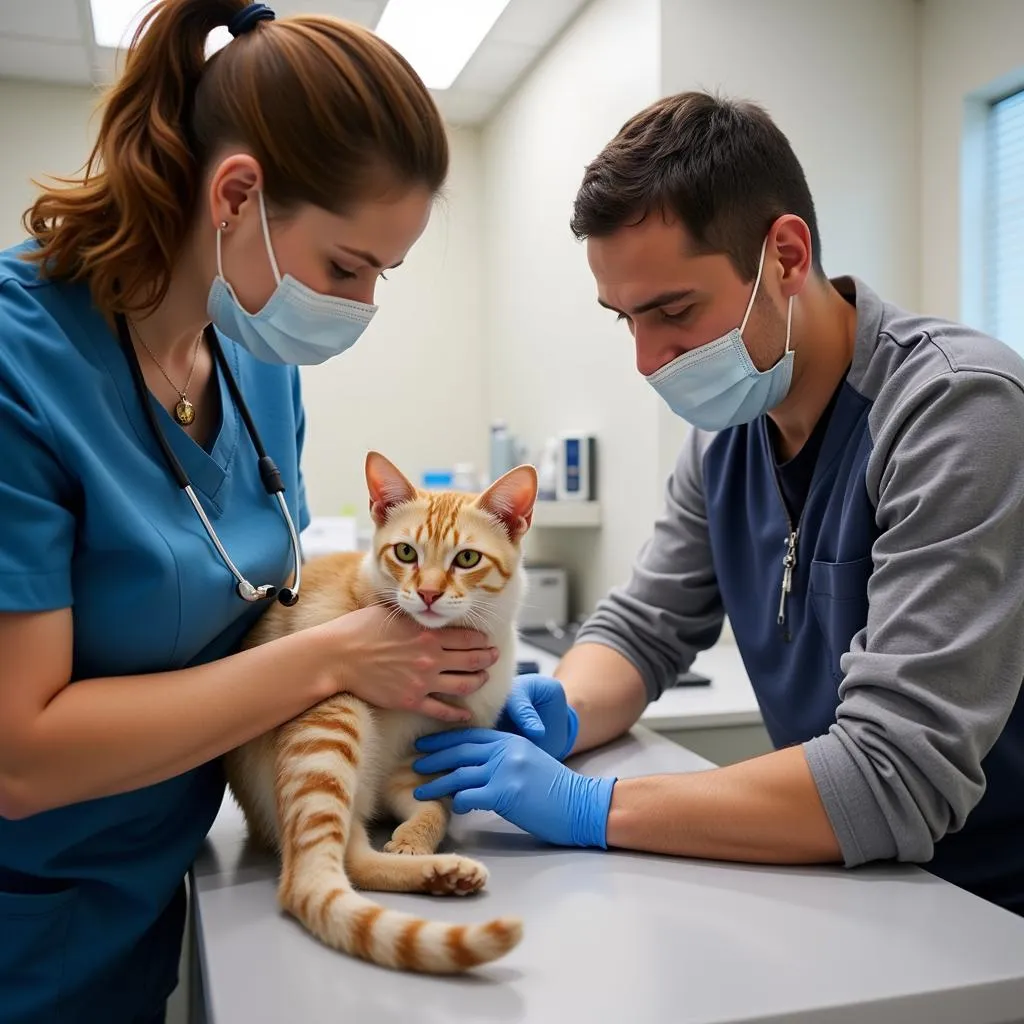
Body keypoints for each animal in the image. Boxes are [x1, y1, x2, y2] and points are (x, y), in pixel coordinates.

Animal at [225, 452, 540, 970]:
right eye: (406, 553)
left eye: (467, 559)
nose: (429, 594)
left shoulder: (418, 768)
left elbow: (434, 810)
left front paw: (413, 842)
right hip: (333, 717)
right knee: (310, 876)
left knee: (354, 855)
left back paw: (440, 873)